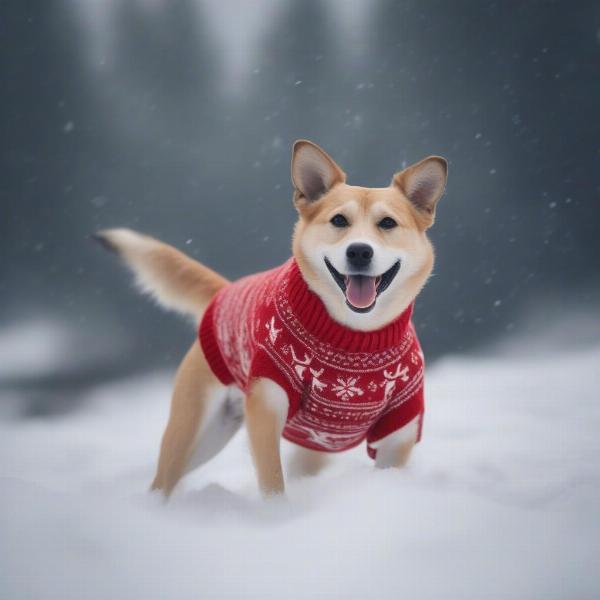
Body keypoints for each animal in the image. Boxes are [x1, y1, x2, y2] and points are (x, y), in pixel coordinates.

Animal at [96, 141, 448, 496]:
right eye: (339, 220)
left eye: (387, 223)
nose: (359, 251)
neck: (354, 336)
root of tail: (226, 291)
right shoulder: (266, 404)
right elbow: (273, 482)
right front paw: (277, 510)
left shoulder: (400, 427)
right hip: (194, 429)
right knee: (164, 479)